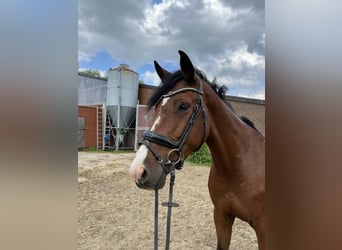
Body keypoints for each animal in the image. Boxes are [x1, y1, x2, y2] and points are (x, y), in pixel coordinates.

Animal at [130, 50, 266, 250]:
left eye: (183, 106)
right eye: (157, 107)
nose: (138, 170)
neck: (239, 167)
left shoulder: (263, 229)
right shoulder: (222, 216)